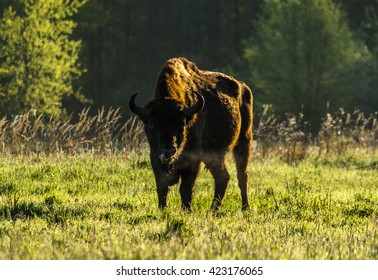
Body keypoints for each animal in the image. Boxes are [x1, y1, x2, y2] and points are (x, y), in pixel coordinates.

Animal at [128, 57, 252, 210]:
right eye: (151, 125)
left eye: (181, 125)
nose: (168, 151)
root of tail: (243, 87)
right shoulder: (155, 158)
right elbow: (162, 187)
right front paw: (162, 209)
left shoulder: (193, 160)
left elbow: (185, 188)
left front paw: (187, 210)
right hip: (215, 154)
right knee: (223, 176)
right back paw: (213, 210)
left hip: (244, 141)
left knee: (242, 175)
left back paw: (244, 207)